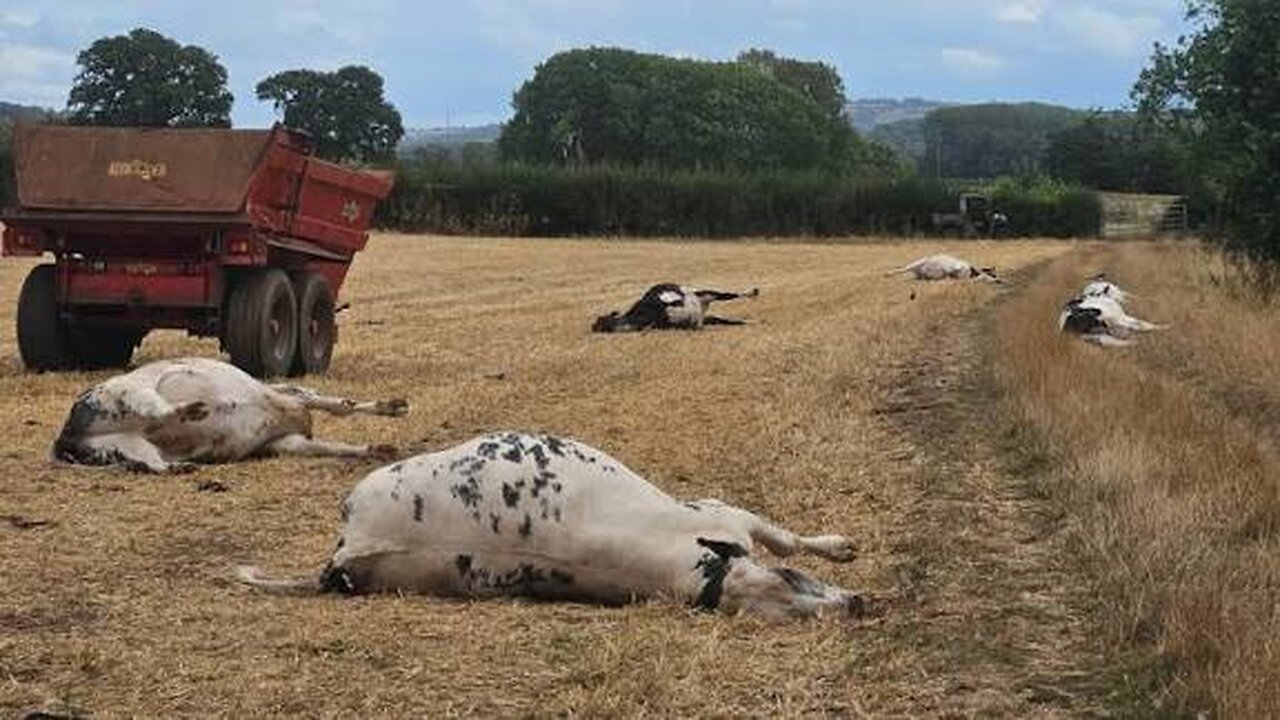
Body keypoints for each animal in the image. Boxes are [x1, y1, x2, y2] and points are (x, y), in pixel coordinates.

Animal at [52, 357, 408, 473]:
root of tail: (65, 435)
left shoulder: (285, 441)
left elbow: (329, 443)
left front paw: (378, 448)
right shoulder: (289, 399)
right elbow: (339, 405)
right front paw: (392, 406)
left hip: (123, 448)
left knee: (153, 464)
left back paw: (182, 466)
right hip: (132, 392)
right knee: (159, 410)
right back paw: (194, 409)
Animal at [237, 431, 864, 620]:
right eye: (790, 586)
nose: (856, 605)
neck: (698, 572)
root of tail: (344, 557)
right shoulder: (725, 513)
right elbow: (789, 537)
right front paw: (839, 545)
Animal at [592, 284, 760, 333]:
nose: (594, 326)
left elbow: (670, 297)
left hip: (709, 293)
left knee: (731, 294)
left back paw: (752, 292)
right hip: (707, 312)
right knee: (724, 320)